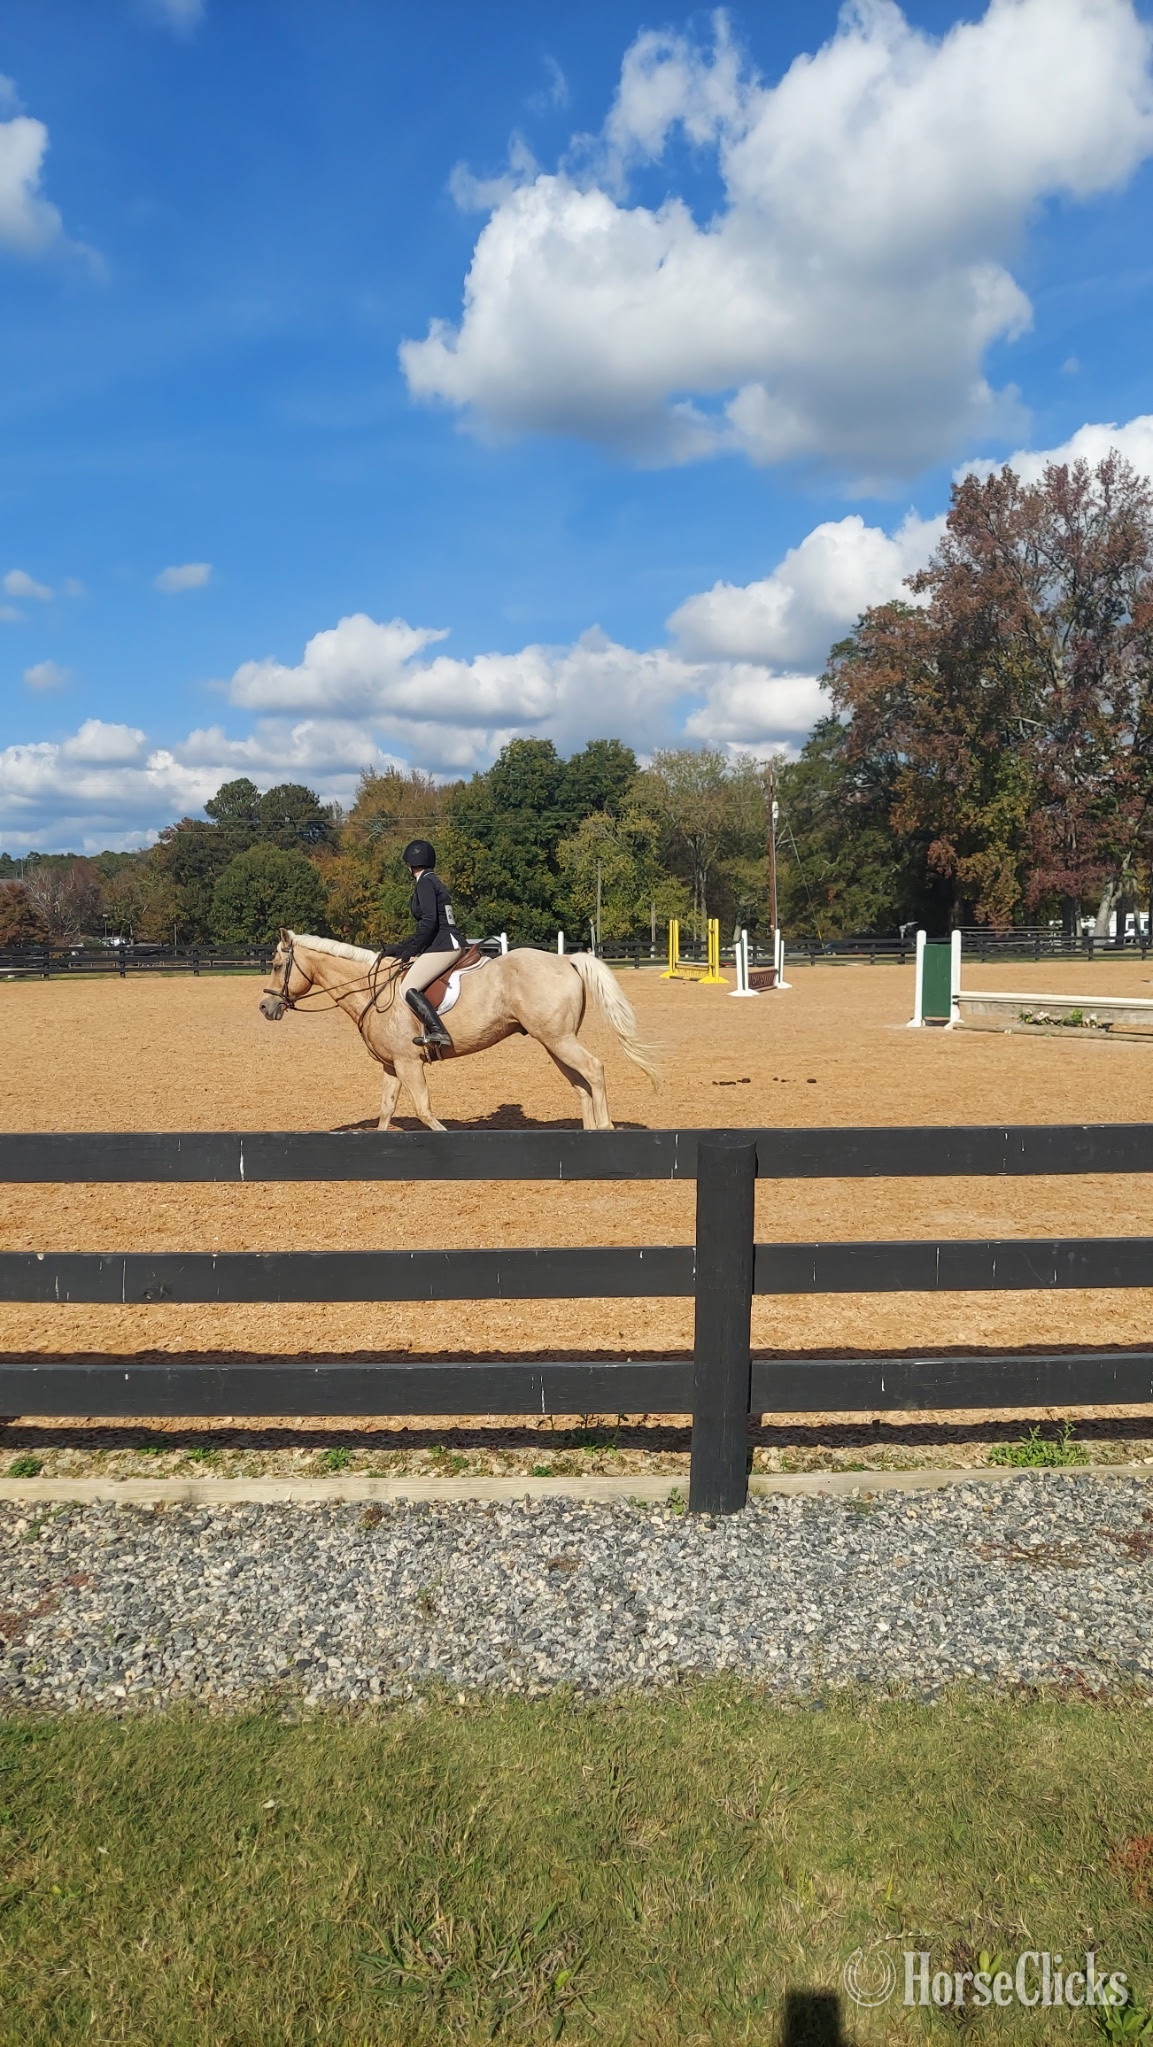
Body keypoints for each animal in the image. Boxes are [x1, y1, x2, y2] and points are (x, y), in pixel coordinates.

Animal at [258, 931, 660, 1131]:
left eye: (277, 965)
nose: (265, 1007)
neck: (372, 990)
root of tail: (567, 959)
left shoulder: (409, 1063)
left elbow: (423, 1111)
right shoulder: (392, 1065)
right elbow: (386, 1111)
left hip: (559, 1040)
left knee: (594, 1070)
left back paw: (605, 1128)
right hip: (553, 1041)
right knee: (581, 1084)